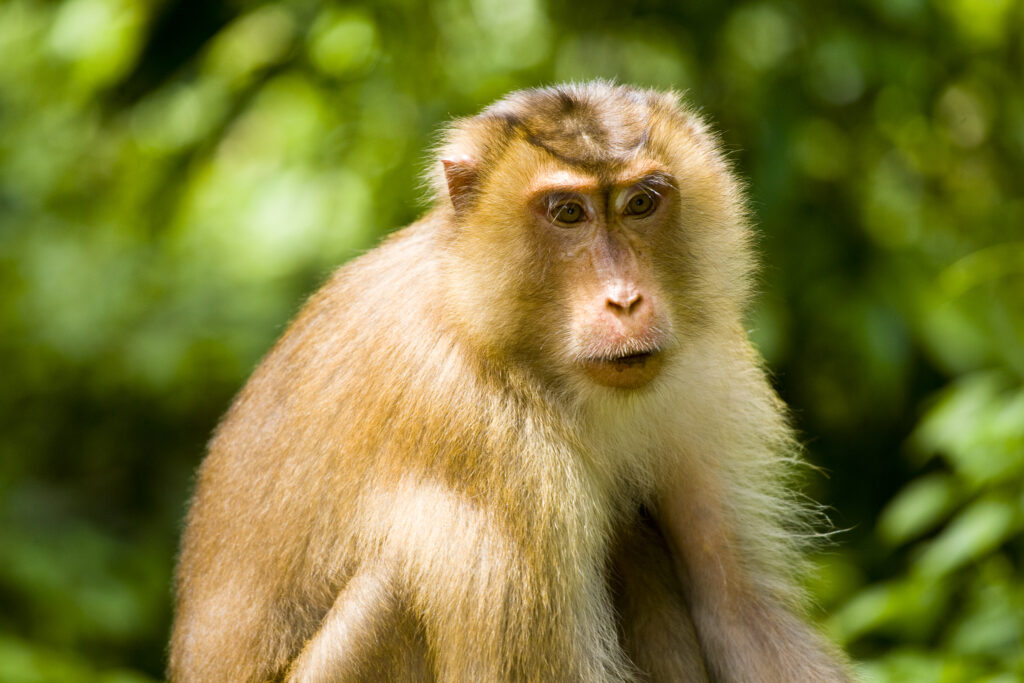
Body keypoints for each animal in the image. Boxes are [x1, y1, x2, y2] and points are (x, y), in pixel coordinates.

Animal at [169, 82, 852, 682]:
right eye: (569, 213)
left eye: (640, 203)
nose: (625, 300)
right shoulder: (484, 444)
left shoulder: (707, 373)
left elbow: (736, 607)